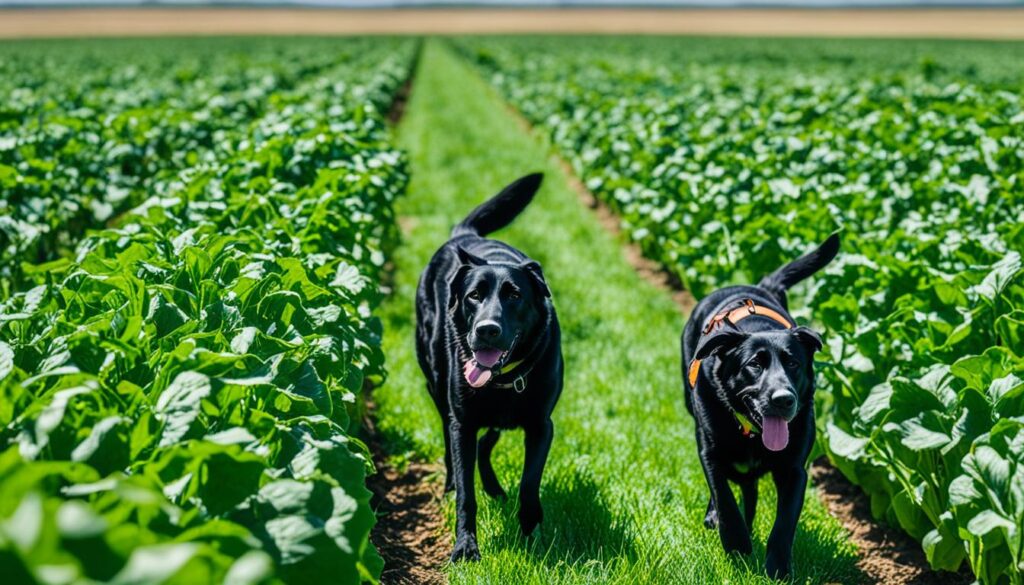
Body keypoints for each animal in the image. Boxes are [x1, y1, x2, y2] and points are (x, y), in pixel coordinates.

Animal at [411, 174, 565, 561]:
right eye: (474, 296)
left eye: (514, 295)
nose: (487, 330)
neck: (506, 379)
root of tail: (464, 236)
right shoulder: (463, 422)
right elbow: (467, 494)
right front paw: (465, 547)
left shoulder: (541, 425)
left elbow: (529, 484)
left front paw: (531, 532)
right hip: (438, 387)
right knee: (452, 445)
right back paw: (452, 485)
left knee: (488, 439)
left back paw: (495, 489)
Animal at [679, 232, 839, 577]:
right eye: (754, 364)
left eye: (793, 363)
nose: (783, 400)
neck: (752, 433)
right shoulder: (710, 453)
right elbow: (724, 497)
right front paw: (737, 543)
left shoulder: (795, 470)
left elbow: (784, 523)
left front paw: (777, 567)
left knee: (749, 488)